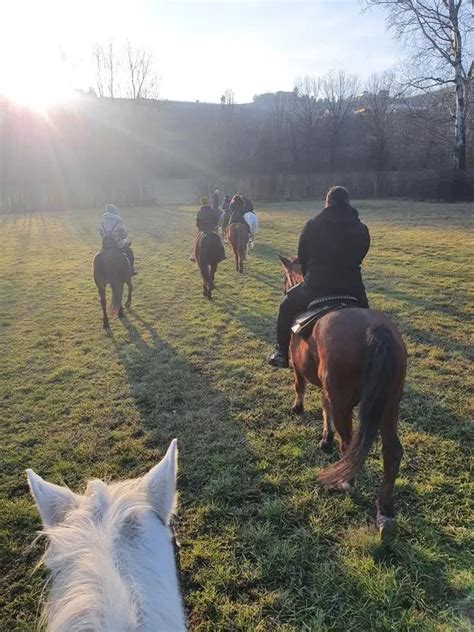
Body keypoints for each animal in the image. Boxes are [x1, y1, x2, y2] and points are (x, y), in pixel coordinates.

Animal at [278, 254, 408, 540]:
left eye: (285, 278)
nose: (284, 290)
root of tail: (376, 329)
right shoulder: (329, 390)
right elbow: (323, 406)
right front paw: (324, 439)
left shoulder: (301, 371)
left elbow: (300, 388)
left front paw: (298, 408)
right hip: (389, 404)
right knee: (391, 451)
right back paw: (385, 511)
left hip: (345, 402)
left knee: (348, 445)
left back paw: (345, 483)